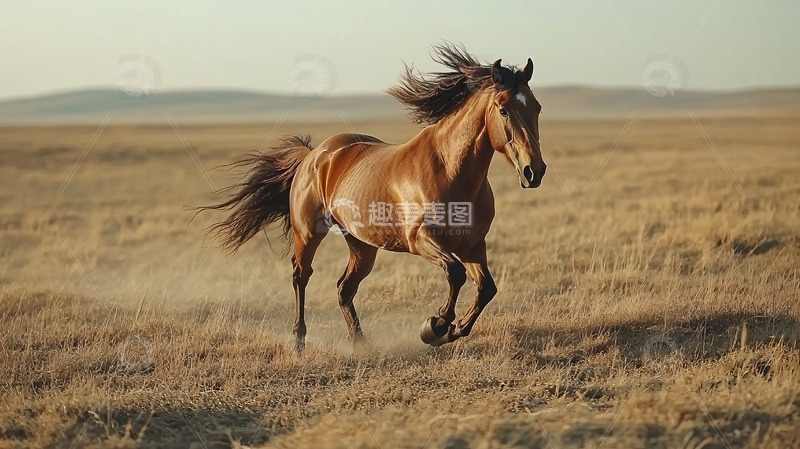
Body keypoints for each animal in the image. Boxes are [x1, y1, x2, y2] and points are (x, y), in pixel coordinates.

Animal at [198, 44, 546, 350]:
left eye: (537, 107)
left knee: (344, 288)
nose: (535, 171)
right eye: (503, 109)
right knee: (301, 276)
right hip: (308, 233)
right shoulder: (421, 239)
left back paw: (359, 341)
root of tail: (314, 155)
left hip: (362, 245)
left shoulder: (473, 245)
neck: (450, 171)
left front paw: (451, 330)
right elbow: (456, 273)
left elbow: (486, 288)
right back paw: (298, 339)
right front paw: (434, 326)